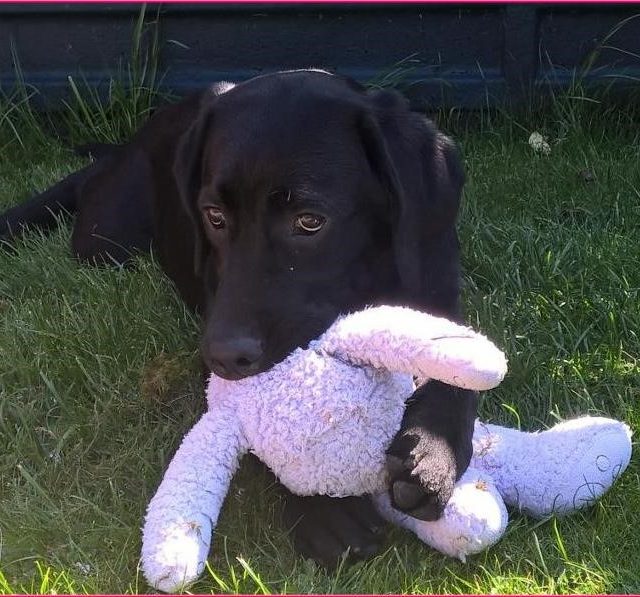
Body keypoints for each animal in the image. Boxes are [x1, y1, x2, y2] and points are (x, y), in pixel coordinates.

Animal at [0, 68, 478, 564]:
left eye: (310, 221)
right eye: (214, 216)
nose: (225, 356)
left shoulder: (438, 285)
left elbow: (459, 375)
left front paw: (434, 451)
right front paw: (323, 507)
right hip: (103, 240)